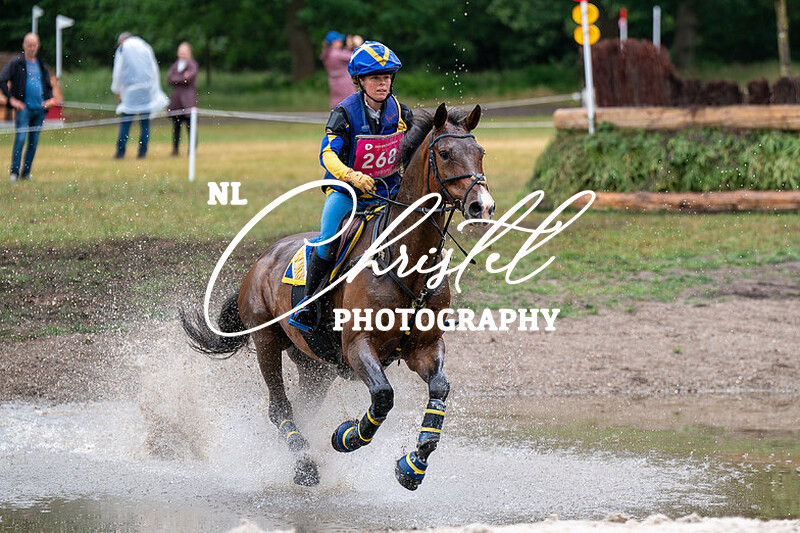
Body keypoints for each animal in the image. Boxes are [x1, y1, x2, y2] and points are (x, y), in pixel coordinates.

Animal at [180, 103, 495, 490]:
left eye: (480, 152)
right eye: (446, 153)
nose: (483, 206)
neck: (406, 260)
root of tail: (259, 262)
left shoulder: (425, 346)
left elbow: (440, 389)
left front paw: (413, 465)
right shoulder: (358, 345)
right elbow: (383, 397)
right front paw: (347, 437)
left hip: (316, 366)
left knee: (303, 406)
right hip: (267, 341)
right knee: (279, 407)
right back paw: (305, 465)